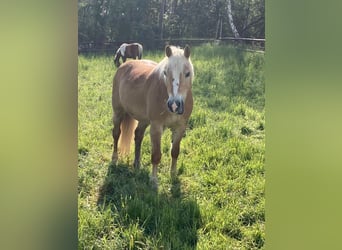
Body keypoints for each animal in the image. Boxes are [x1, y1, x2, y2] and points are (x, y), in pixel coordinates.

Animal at [111, 45, 194, 189]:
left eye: (187, 73)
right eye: (165, 73)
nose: (174, 105)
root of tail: (123, 66)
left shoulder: (180, 127)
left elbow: (175, 151)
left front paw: (173, 175)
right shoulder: (156, 127)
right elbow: (156, 155)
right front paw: (154, 181)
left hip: (144, 120)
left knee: (138, 136)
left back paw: (137, 164)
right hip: (118, 113)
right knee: (116, 134)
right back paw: (115, 159)